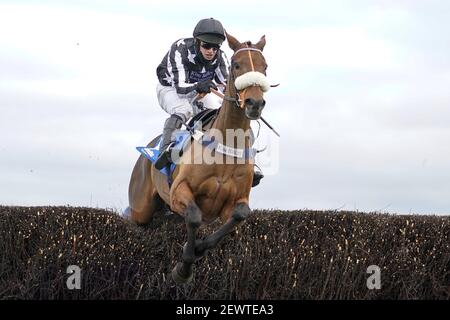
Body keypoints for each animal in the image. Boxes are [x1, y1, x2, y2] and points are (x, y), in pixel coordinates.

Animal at [126, 31, 268, 282]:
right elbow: (193, 217)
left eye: (265, 67)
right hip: (141, 206)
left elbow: (240, 214)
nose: (255, 103)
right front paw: (183, 269)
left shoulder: (234, 203)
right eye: (236, 64)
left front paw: (199, 249)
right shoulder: (179, 192)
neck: (225, 145)